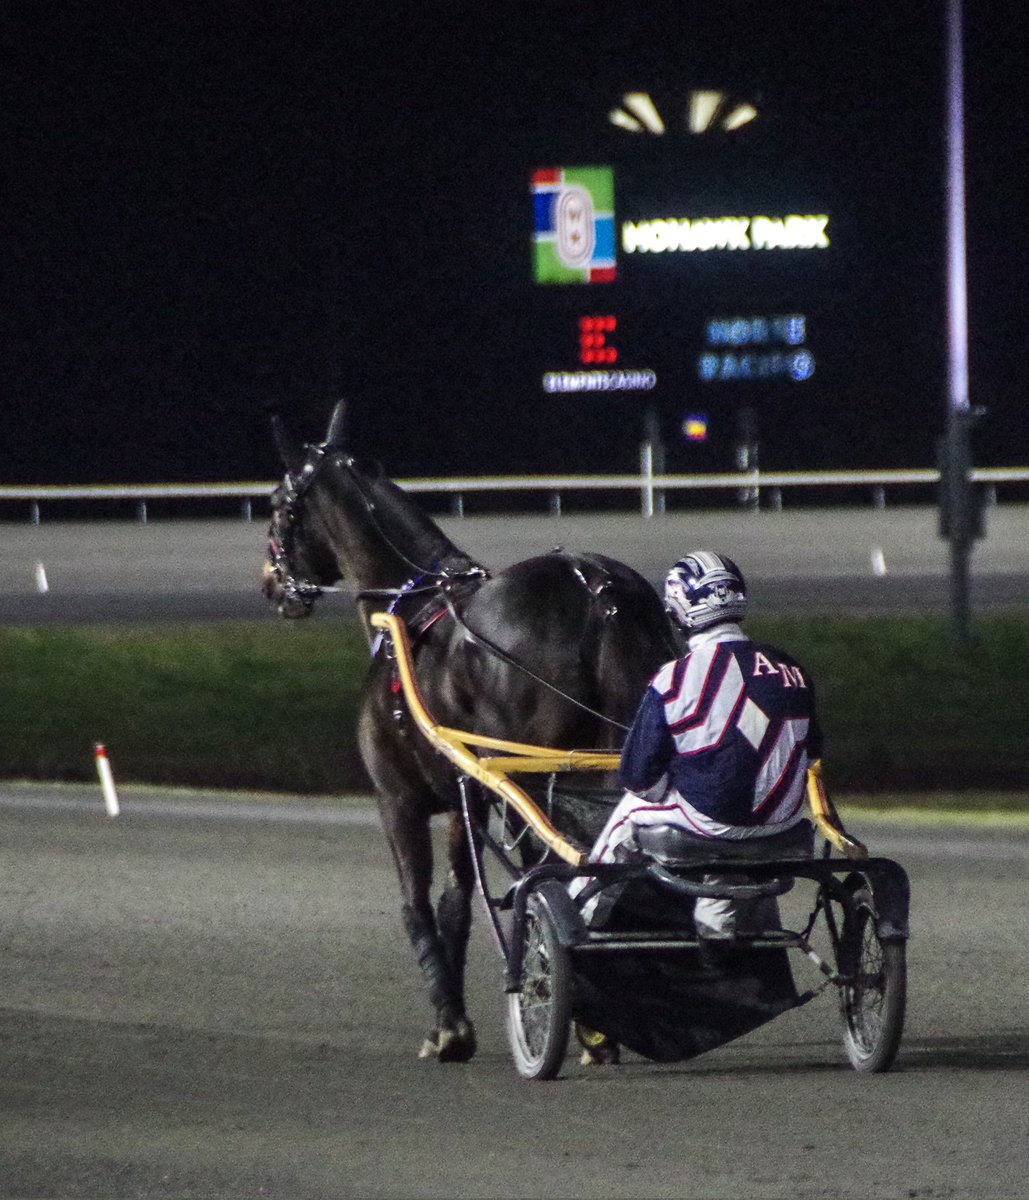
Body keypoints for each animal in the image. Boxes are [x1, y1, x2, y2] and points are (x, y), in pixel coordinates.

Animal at [262, 401, 680, 1062]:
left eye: (277, 503)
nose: (272, 584)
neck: (409, 612)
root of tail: (597, 589)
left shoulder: (398, 798)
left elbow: (417, 904)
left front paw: (448, 1028)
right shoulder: (470, 795)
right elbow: (457, 902)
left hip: (542, 778)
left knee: (560, 872)